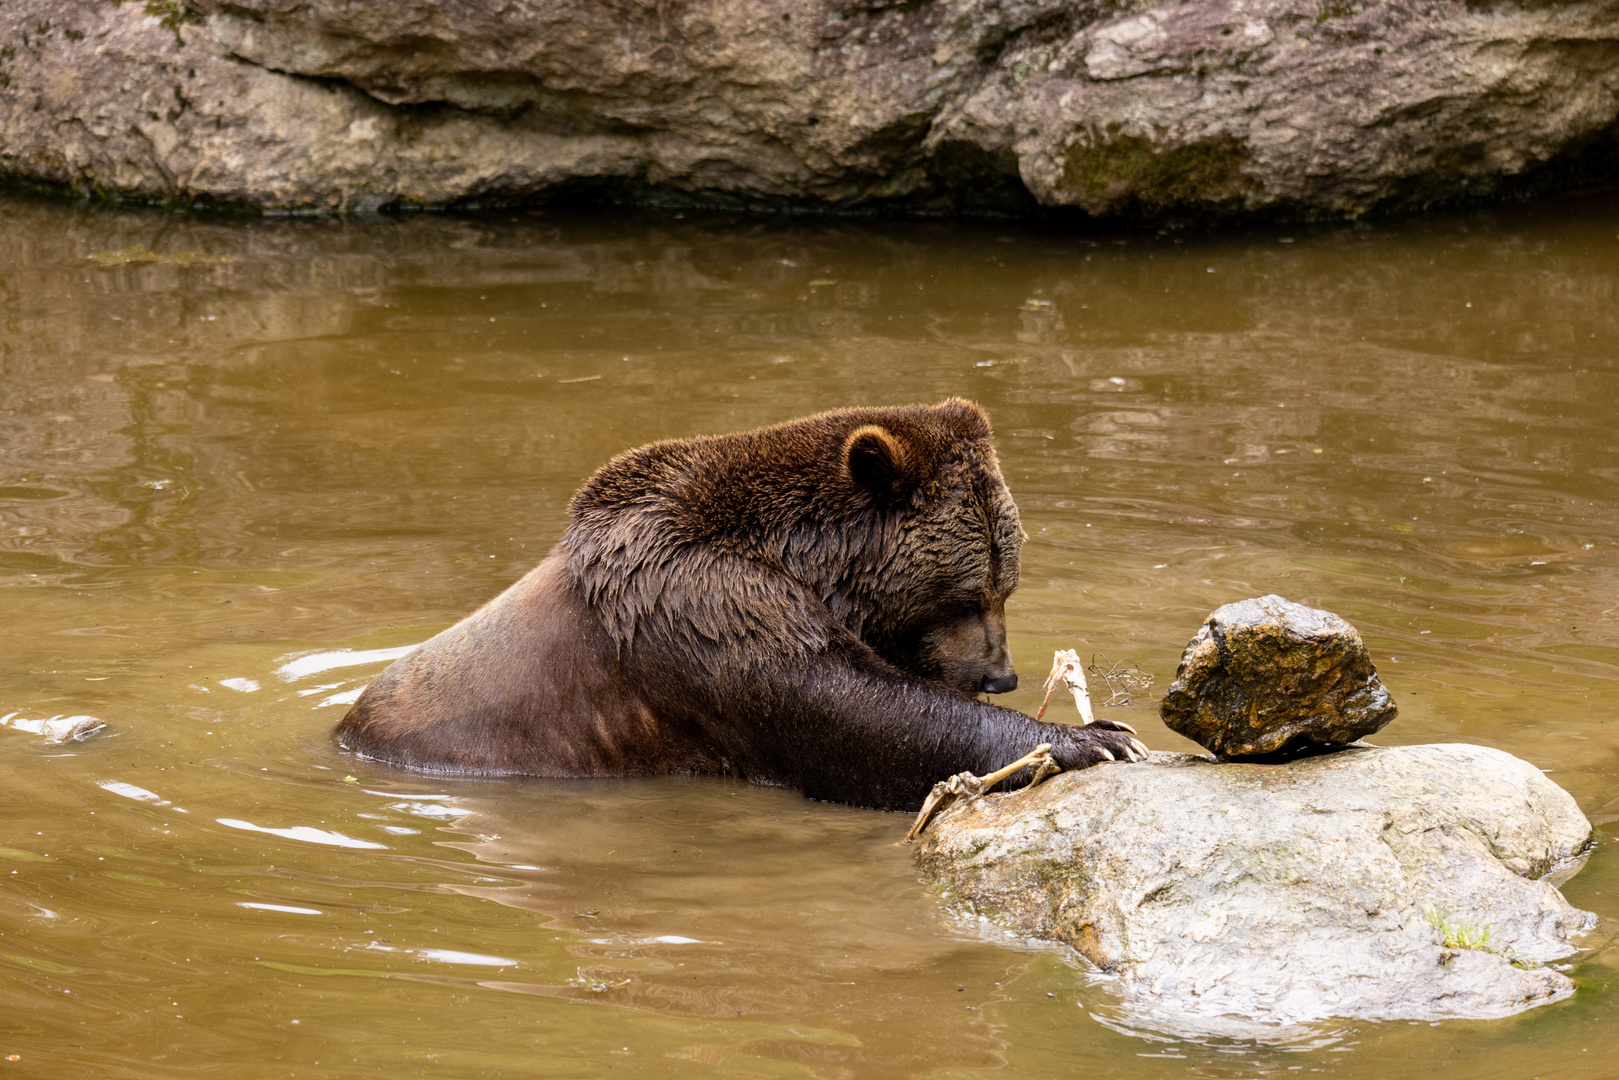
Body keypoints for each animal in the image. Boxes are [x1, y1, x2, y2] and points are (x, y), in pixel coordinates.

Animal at [338, 399, 1152, 809]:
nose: (999, 675)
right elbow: (853, 712)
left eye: (1004, 584)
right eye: (966, 593)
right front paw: (1095, 737)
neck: (803, 561)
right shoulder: (705, 609)